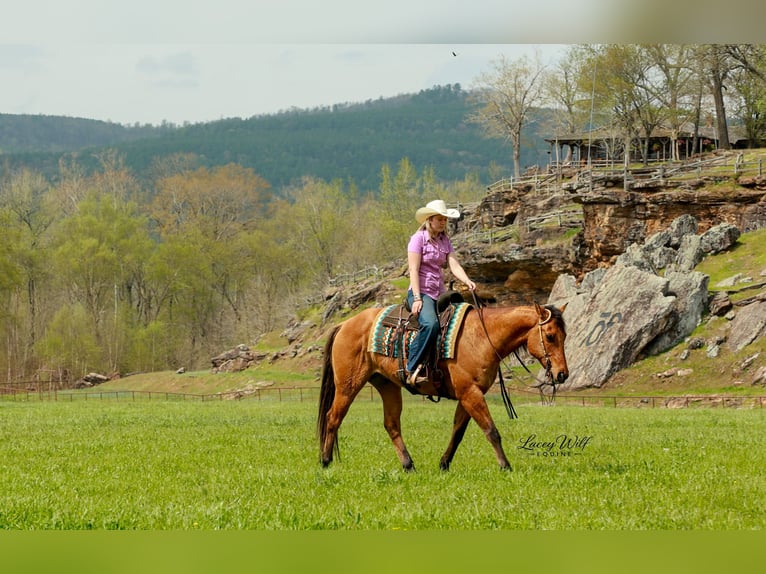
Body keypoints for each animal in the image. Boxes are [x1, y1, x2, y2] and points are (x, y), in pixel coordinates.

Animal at [317, 301, 569, 471]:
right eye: (549, 336)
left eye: (564, 336)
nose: (562, 374)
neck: (481, 337)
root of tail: (344, 324)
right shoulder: (470, 393)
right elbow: (491, 431)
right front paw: (505, 466)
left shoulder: (468, 394)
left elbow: (458, 432)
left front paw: (444, 463)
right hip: (348, 385)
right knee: (333, 417)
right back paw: (326, 461)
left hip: (387, 385)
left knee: (391, 424)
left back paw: (409, 465)